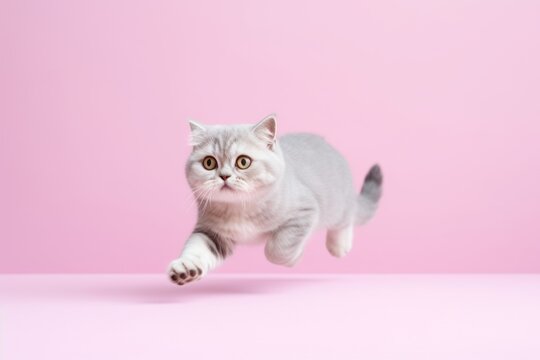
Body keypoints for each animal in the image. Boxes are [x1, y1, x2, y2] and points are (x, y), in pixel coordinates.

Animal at [167, 114, 382, 284]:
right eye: (209, 163)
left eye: (243, 162)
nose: (224, 176)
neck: (239, 209)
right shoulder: (212, 231)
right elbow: (197, 247)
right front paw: (186, 267)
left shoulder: (305, 210)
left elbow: (277, 249)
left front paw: (295, 258)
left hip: (337, 203)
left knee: (347, 217)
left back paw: (339, 245)